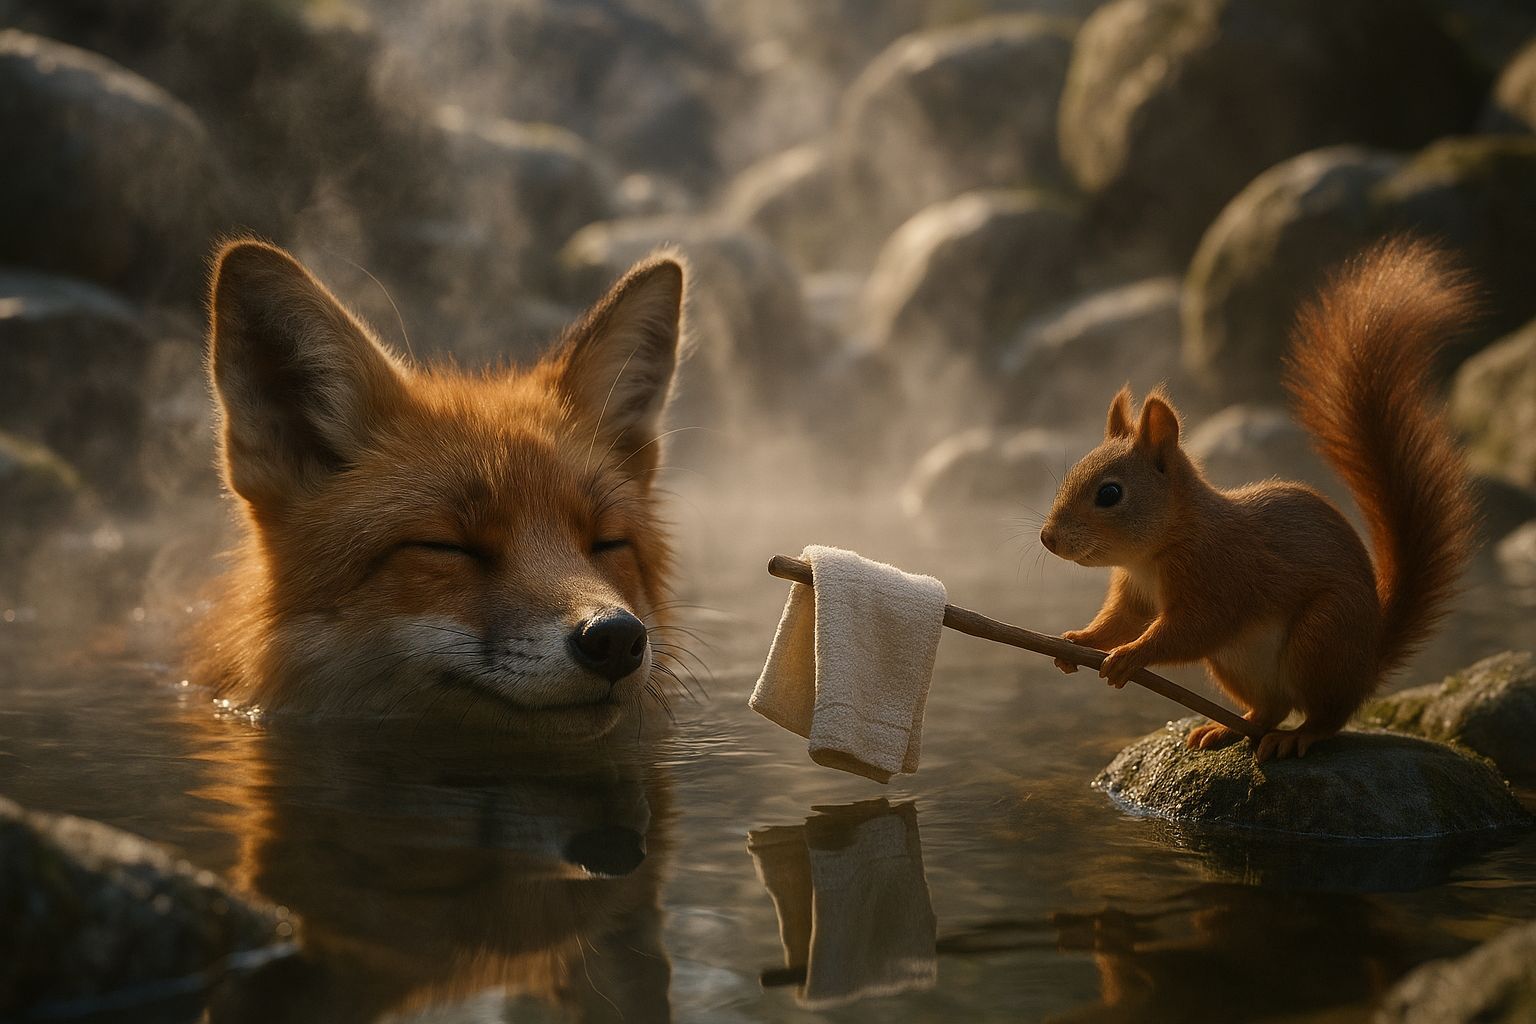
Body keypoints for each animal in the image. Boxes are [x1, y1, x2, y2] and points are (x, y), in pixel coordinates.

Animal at [1038, 238, 1478, 760]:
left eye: (1109, 493)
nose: (1047, 539)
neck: (1158, 548)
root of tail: (1368, 660)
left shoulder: (1220, 575)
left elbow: (1192, 628)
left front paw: (1131, 655)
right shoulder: (1135, 590)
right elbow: (1123, 619)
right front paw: (1078, 639)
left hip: (1322, 637)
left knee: (1328, 715)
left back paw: (1297, 736)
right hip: (1236, 665)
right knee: (1271, 707)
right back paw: (1229, 728)